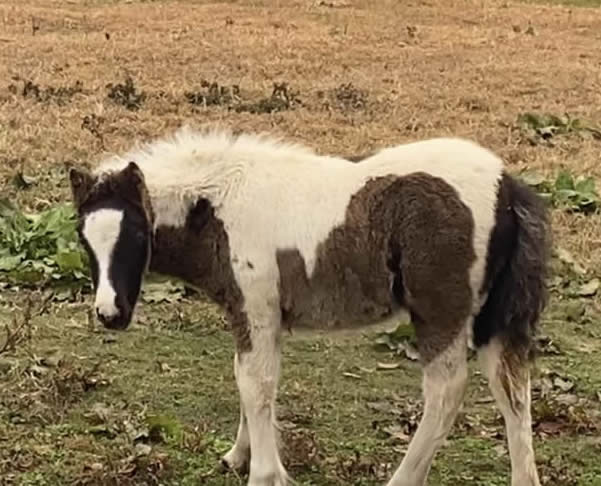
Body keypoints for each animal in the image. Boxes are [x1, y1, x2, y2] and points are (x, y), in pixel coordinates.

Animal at [69, 126, 548, 486]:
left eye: (137, 234)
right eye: (82, 237)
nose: (110, 313)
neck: (220, 205)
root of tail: (507, 187)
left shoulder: (257, 307)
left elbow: (256, 383)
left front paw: (264, 474)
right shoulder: (252, 314)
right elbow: (247, 378)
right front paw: (238, 455)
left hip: (441, 311)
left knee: (446, 392)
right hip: (493, 318)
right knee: (513, 390)